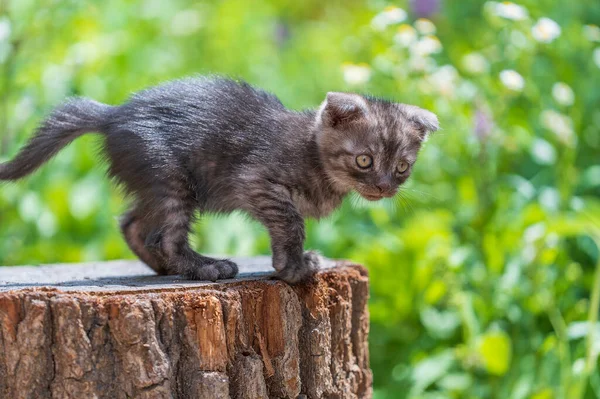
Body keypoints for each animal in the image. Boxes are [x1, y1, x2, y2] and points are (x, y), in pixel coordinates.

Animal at [1, 77, 440, 284]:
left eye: (402, 167)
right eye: (364, 160)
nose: (383, 186)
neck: (313, 153)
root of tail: (113, 113)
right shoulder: (258, 181)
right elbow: (291, 222)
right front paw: (293, 267)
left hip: (156, 181)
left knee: (132, 224)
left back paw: (164, 269)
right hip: (171, 177)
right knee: (165, 235)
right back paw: (204, 267)